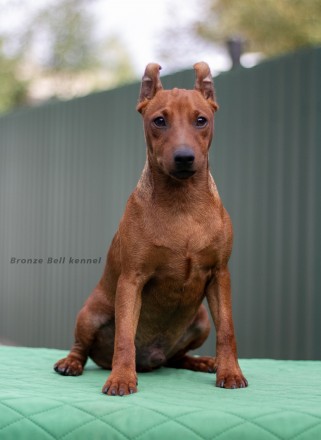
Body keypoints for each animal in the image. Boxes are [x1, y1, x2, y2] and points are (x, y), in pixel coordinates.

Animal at [53, 62, 246, 396]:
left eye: (201, 120)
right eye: (159, 120)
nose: (184, 158)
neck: (183, 204)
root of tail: (153, 358)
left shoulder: (220, 276)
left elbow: (228, 331)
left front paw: (230, 372)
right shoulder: (132, 280)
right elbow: (124, 338)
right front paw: (121, 378)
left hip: (201, 319)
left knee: (178, 358)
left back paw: (202, 362)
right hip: (89, 315)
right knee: (82, 347)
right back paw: (71, 363)